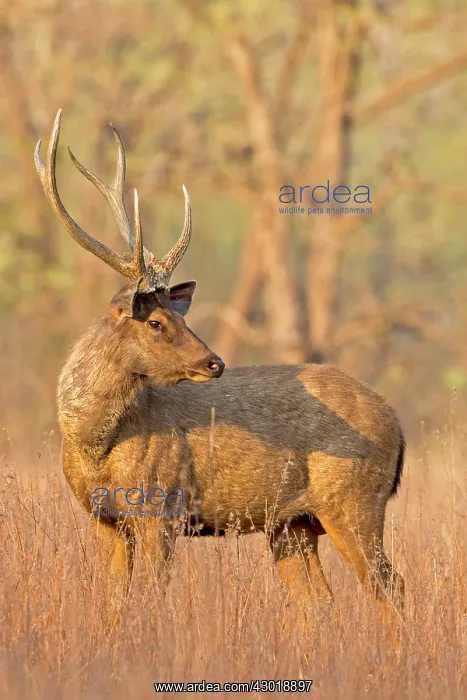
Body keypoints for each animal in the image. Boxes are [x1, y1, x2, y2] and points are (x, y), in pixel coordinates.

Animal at [35, 110, 405, 617]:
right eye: (155, 321)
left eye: (178, 314)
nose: (214, 363)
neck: (96, 446)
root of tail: (397, 425)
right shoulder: (104, 518)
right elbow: (114, 604)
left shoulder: (160, 506)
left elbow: (150, 598)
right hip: (292, 522)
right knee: (318, 600)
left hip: (355, 501)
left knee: (390, 585)